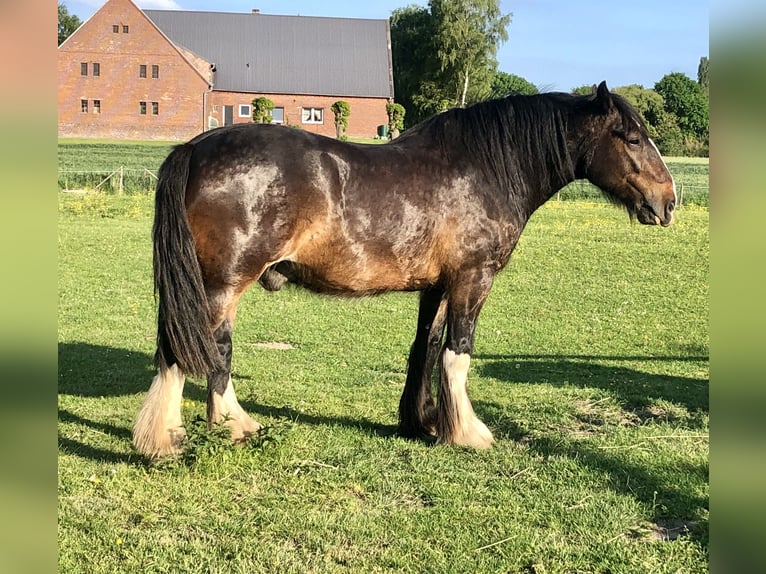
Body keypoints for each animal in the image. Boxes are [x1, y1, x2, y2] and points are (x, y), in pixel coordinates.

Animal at [132, 81, 676, 460]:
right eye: (631, 138)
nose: (669, 201)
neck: (485, 169)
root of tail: (195, 149)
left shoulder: (437, 287)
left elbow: (427, 349)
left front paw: (423, 422)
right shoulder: (472, 280)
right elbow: (458, 354)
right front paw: (467, 432)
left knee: (199, 350)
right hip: (222, 284)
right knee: (197, 350)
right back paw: (189, 434)